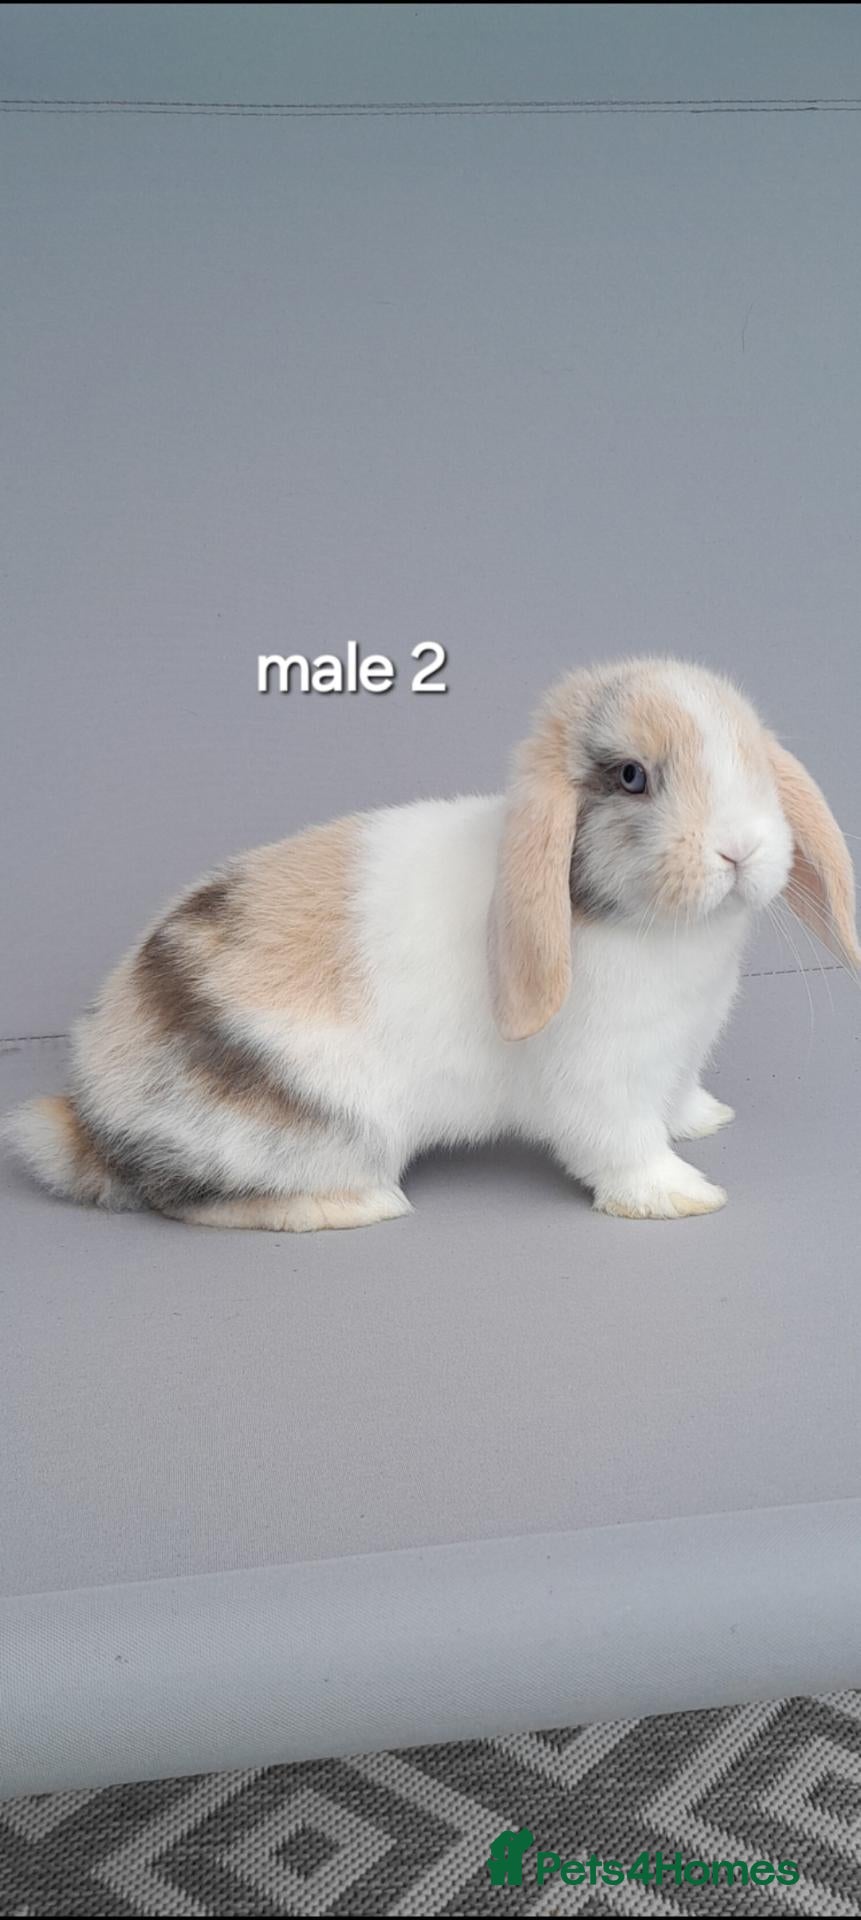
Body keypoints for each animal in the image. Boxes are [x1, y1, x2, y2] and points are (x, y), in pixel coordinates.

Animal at [7, 656, 859, 1228]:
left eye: (754, 759)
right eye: (630, 777)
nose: (739, 850)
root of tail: (90, 1119)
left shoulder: (677, 1054)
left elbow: (674, 1099)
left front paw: (704, 1121)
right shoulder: (600, 1082)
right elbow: (622, 1145)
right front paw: (681, 1197)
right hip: (315, 1130)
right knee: (193, 1201)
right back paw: (358, 1206)